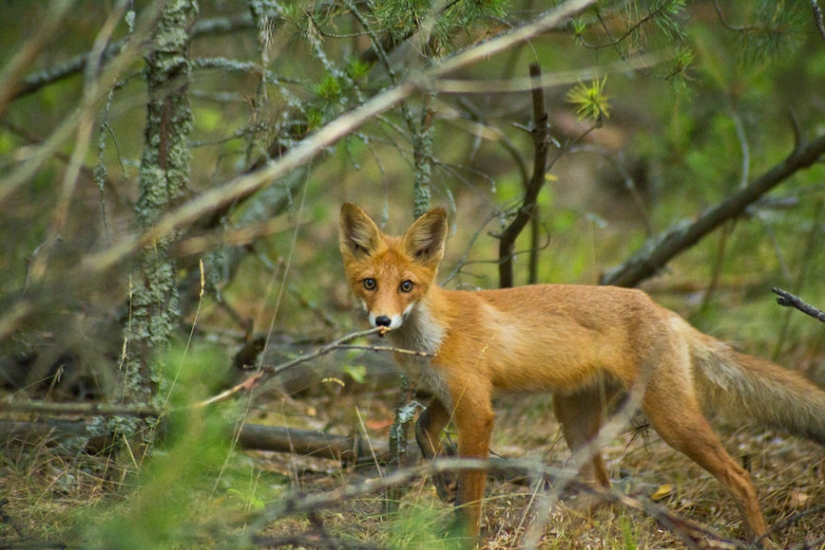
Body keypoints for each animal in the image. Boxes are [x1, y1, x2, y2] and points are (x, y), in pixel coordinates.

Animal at [338, 202, 825, 544]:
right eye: (369, 284)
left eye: (406, 286)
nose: (382, 321)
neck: (431, 336)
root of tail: (665, 311)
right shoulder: (447, 394)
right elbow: (424, 430)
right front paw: (442, 483)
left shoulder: (477, 408)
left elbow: (470, 497)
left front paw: (463, 533)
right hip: (574, 418)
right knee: (603, 489)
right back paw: (550, 523)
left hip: (671, 418)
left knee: (739, 476)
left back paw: (759, 538)